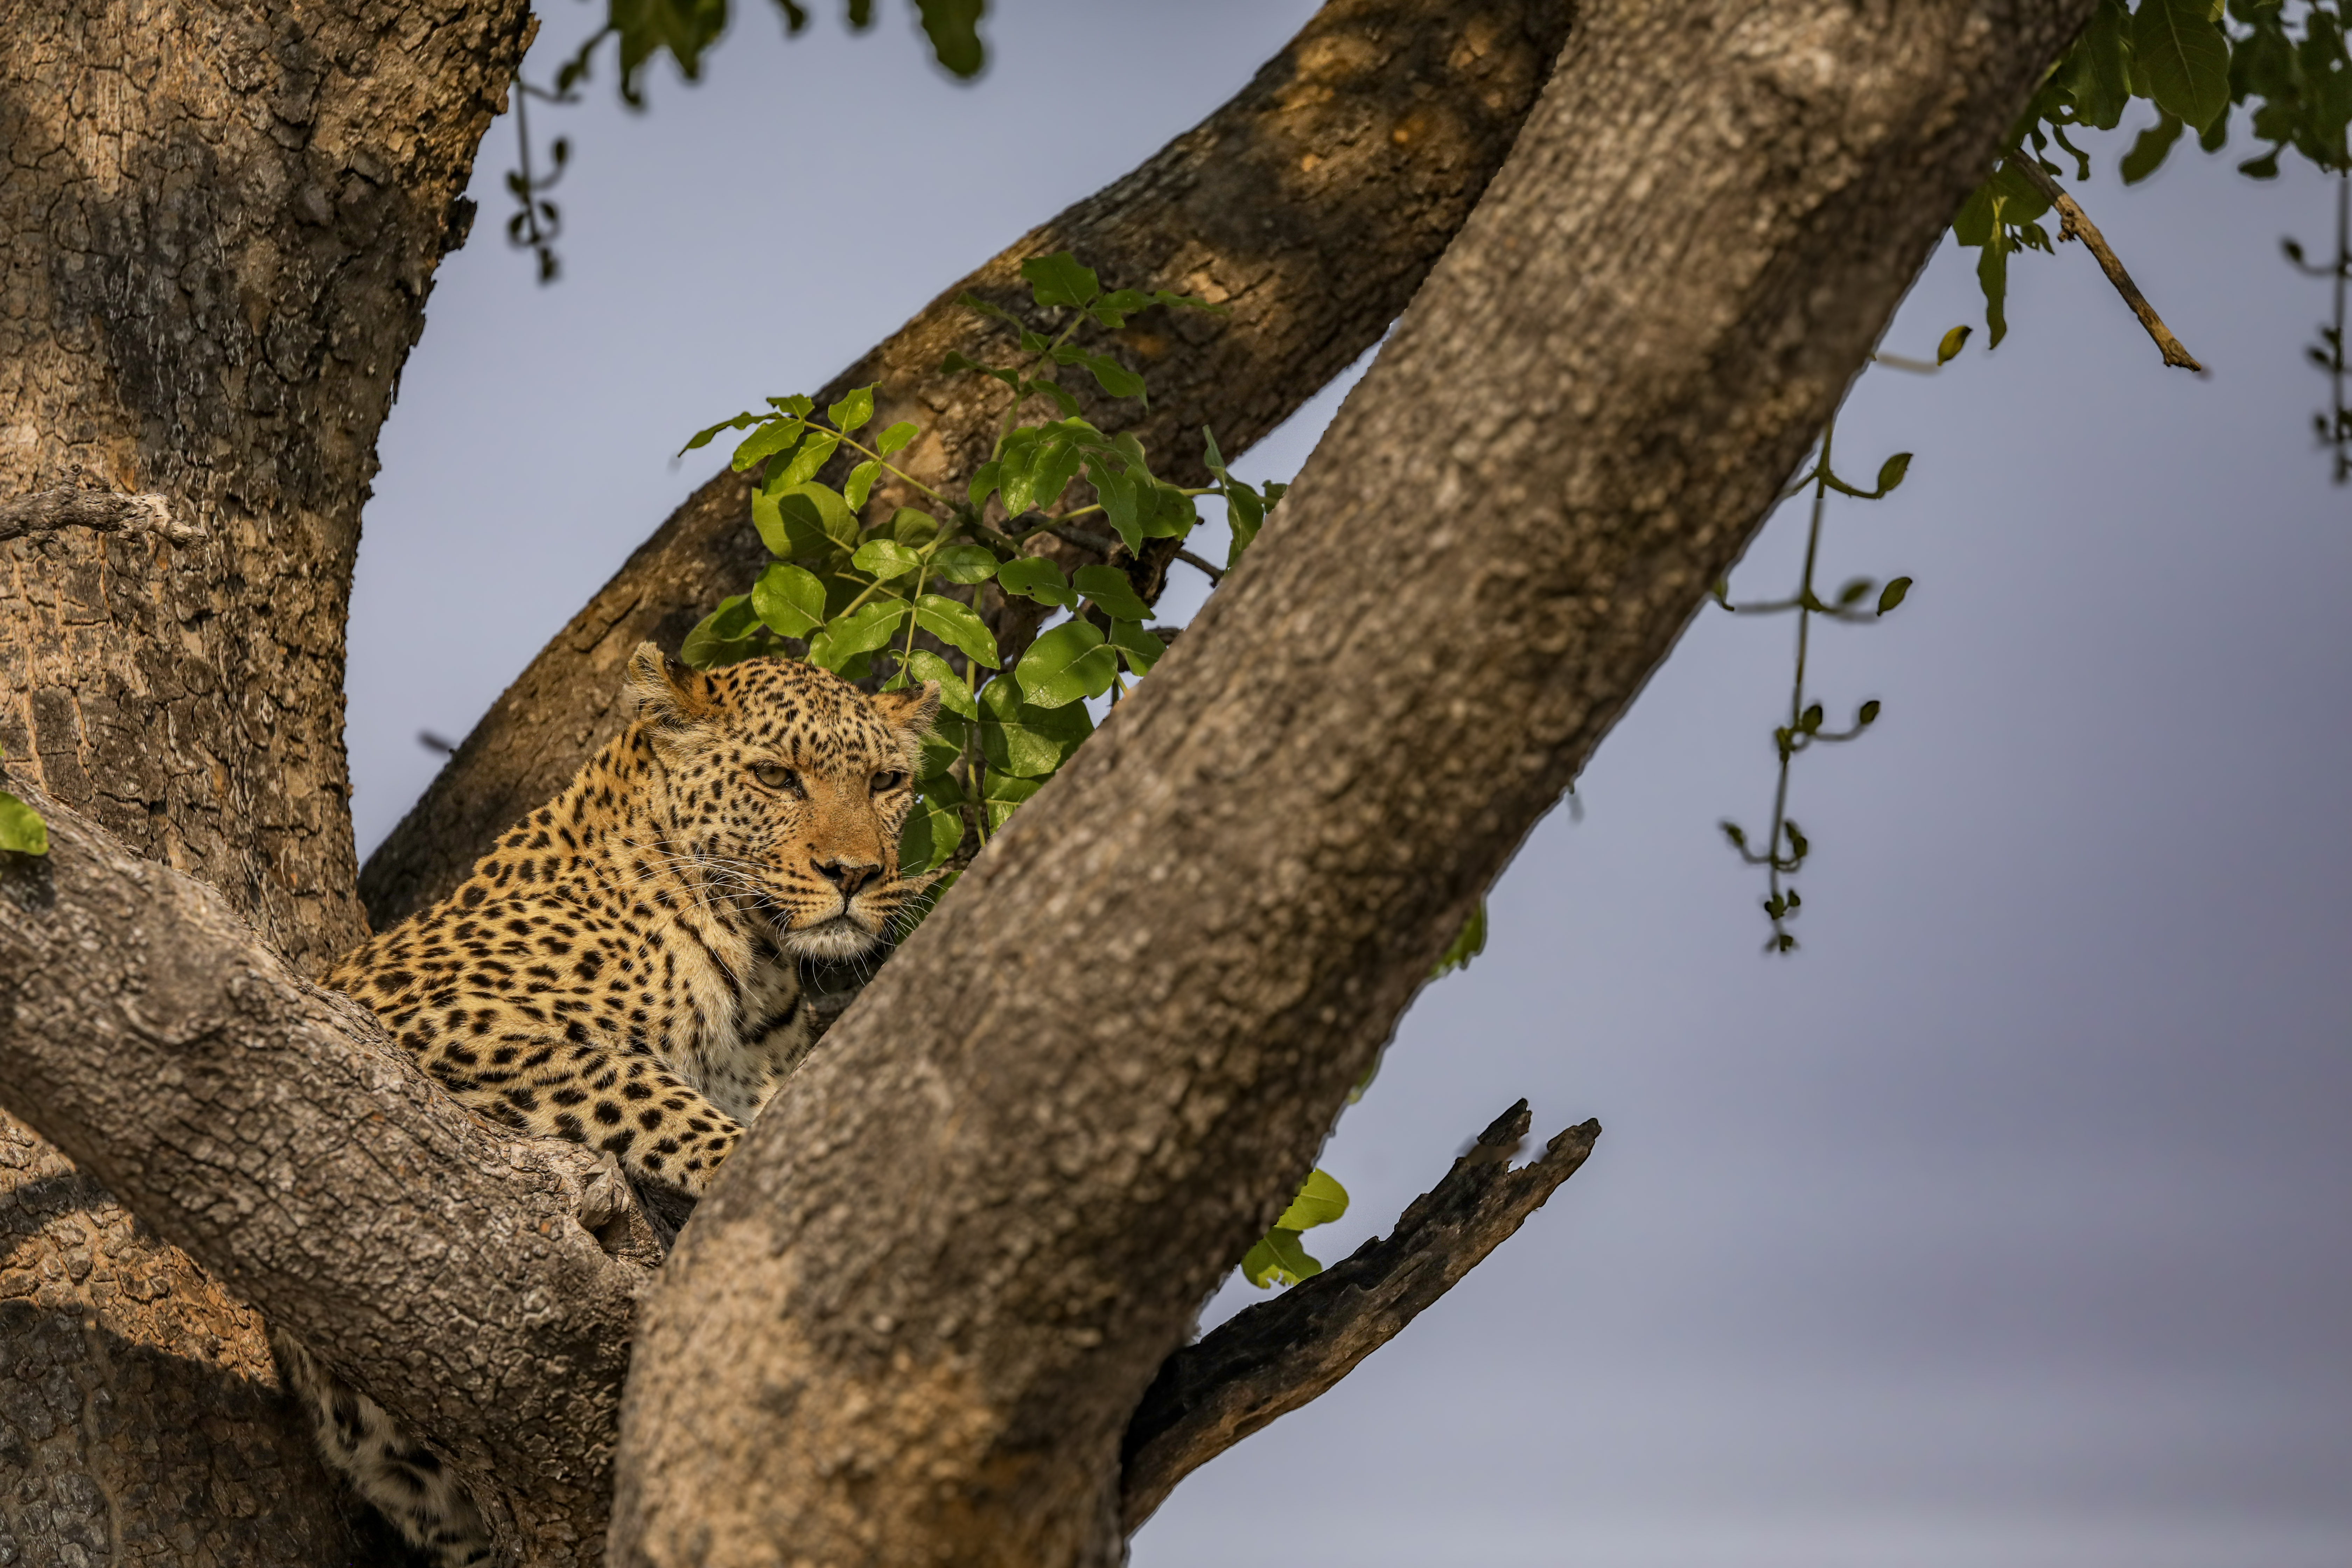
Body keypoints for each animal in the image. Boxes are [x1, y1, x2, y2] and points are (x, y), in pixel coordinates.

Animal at [275, 642, 939, 1566]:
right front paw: (753, 1160)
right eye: (776, 776)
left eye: (885, 782)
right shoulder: (413, 1012)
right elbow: (637, 1083)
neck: (753, 966)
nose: (856, 874)